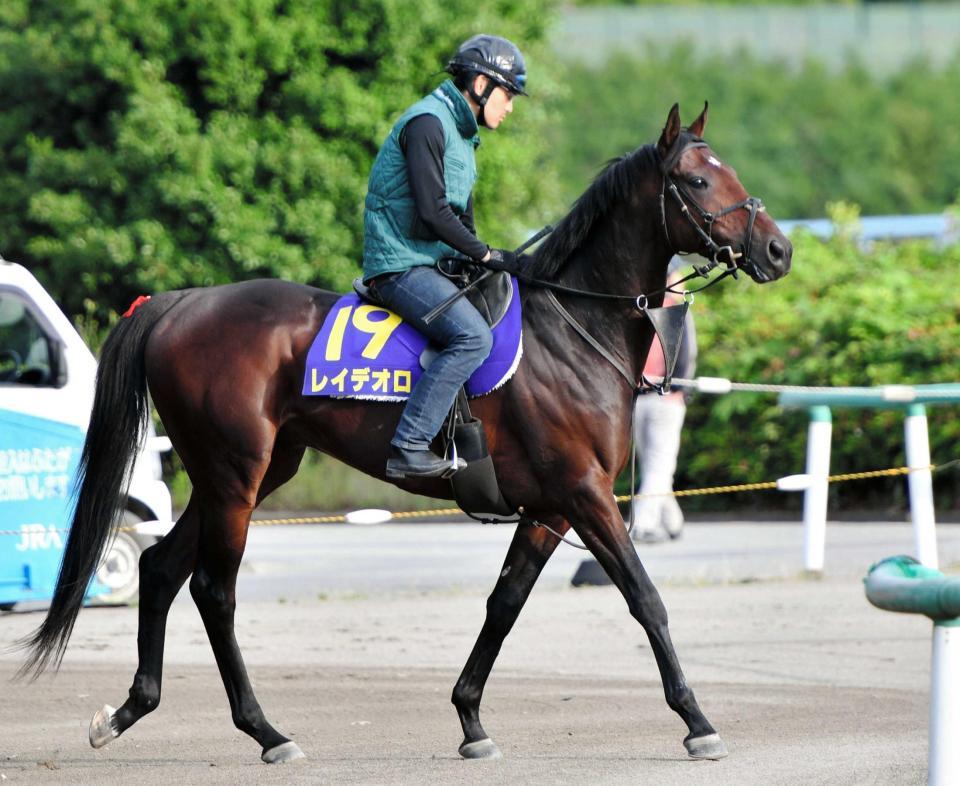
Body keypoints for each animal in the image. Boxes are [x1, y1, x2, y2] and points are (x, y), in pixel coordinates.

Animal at [20, 102, 788, 760]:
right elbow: (645, 598)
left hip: (248, 474)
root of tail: (178, 305)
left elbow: (504, 604)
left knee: (159, 567)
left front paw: (471, 718)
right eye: (698, 179)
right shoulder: (585, 494)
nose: (778, 250)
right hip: (234, 474)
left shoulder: (549, 508)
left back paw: (129, 711)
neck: (571, 329)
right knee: (213, 590)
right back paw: (267, 731)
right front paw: (696, 720)